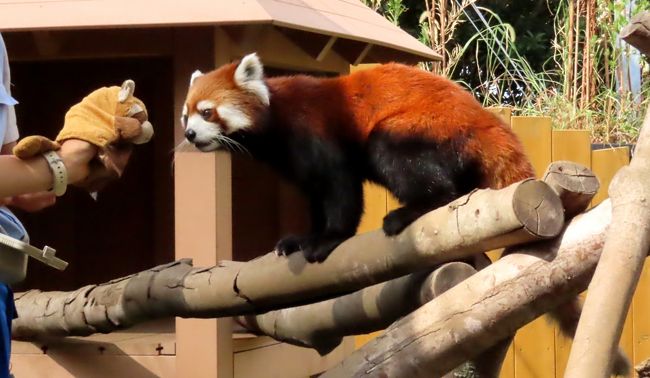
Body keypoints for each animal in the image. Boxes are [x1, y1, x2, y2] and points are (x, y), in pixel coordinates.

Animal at [181, 53, 532, 262]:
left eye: (207, 112)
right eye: (185, 115)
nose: (190, 134)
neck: (276, 120)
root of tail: (485, 120)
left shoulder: (315, 131)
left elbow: (341, 188)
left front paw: (329, 238)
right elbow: (317, 196)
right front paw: (304, 237)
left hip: (421, 126)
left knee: (410, 167)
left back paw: (410, 212)